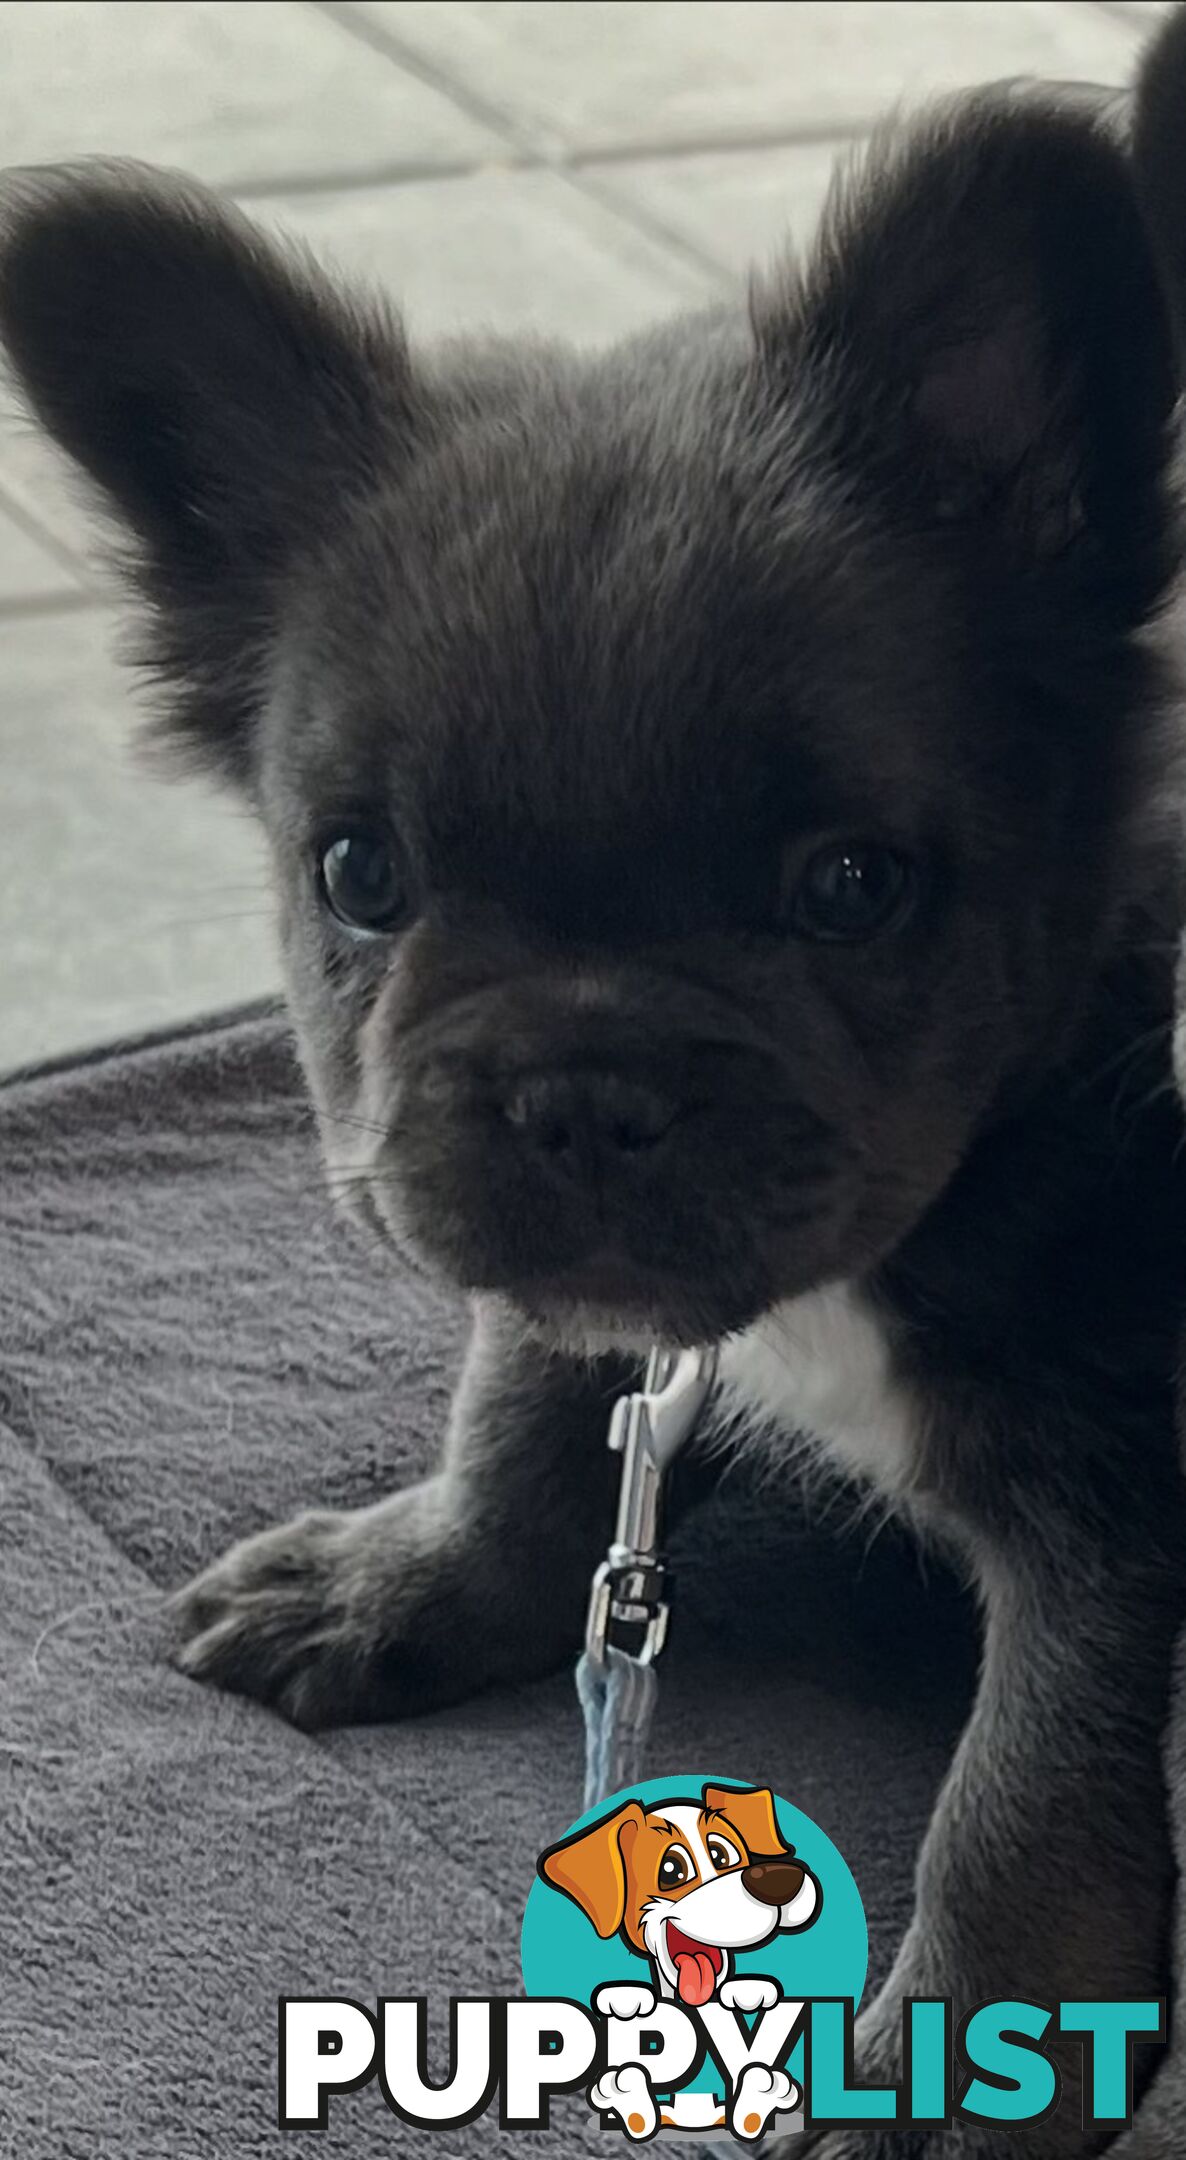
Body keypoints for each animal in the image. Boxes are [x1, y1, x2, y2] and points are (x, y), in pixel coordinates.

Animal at [6, 59, 1183, 2151]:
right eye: (358, 874)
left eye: (854, 887)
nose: (581, 1091)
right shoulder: (584, 1311)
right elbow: (532, 1421)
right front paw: (404, 1578)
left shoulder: (1120, 1516)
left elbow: (1028, 1798)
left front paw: (967, 2062)